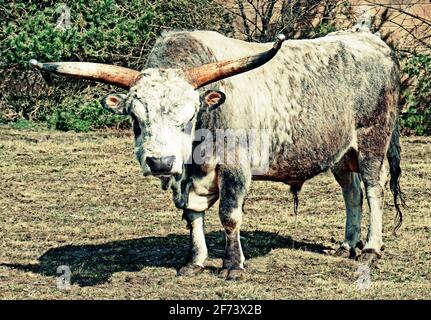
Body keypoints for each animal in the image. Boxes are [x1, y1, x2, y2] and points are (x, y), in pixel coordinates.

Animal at [31, 21, 404, 280]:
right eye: (136, 118)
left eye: (188, 116)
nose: (161, 161)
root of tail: (370, 40)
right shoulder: (186, 178)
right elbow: (192, 213)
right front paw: (195, 262)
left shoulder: (235, 167)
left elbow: (229, 214)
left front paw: (232, 265)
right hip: (340, 151)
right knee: (351, 191)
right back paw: (346, 245)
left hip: (372, 141)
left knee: (374, 188)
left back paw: (371, 248)